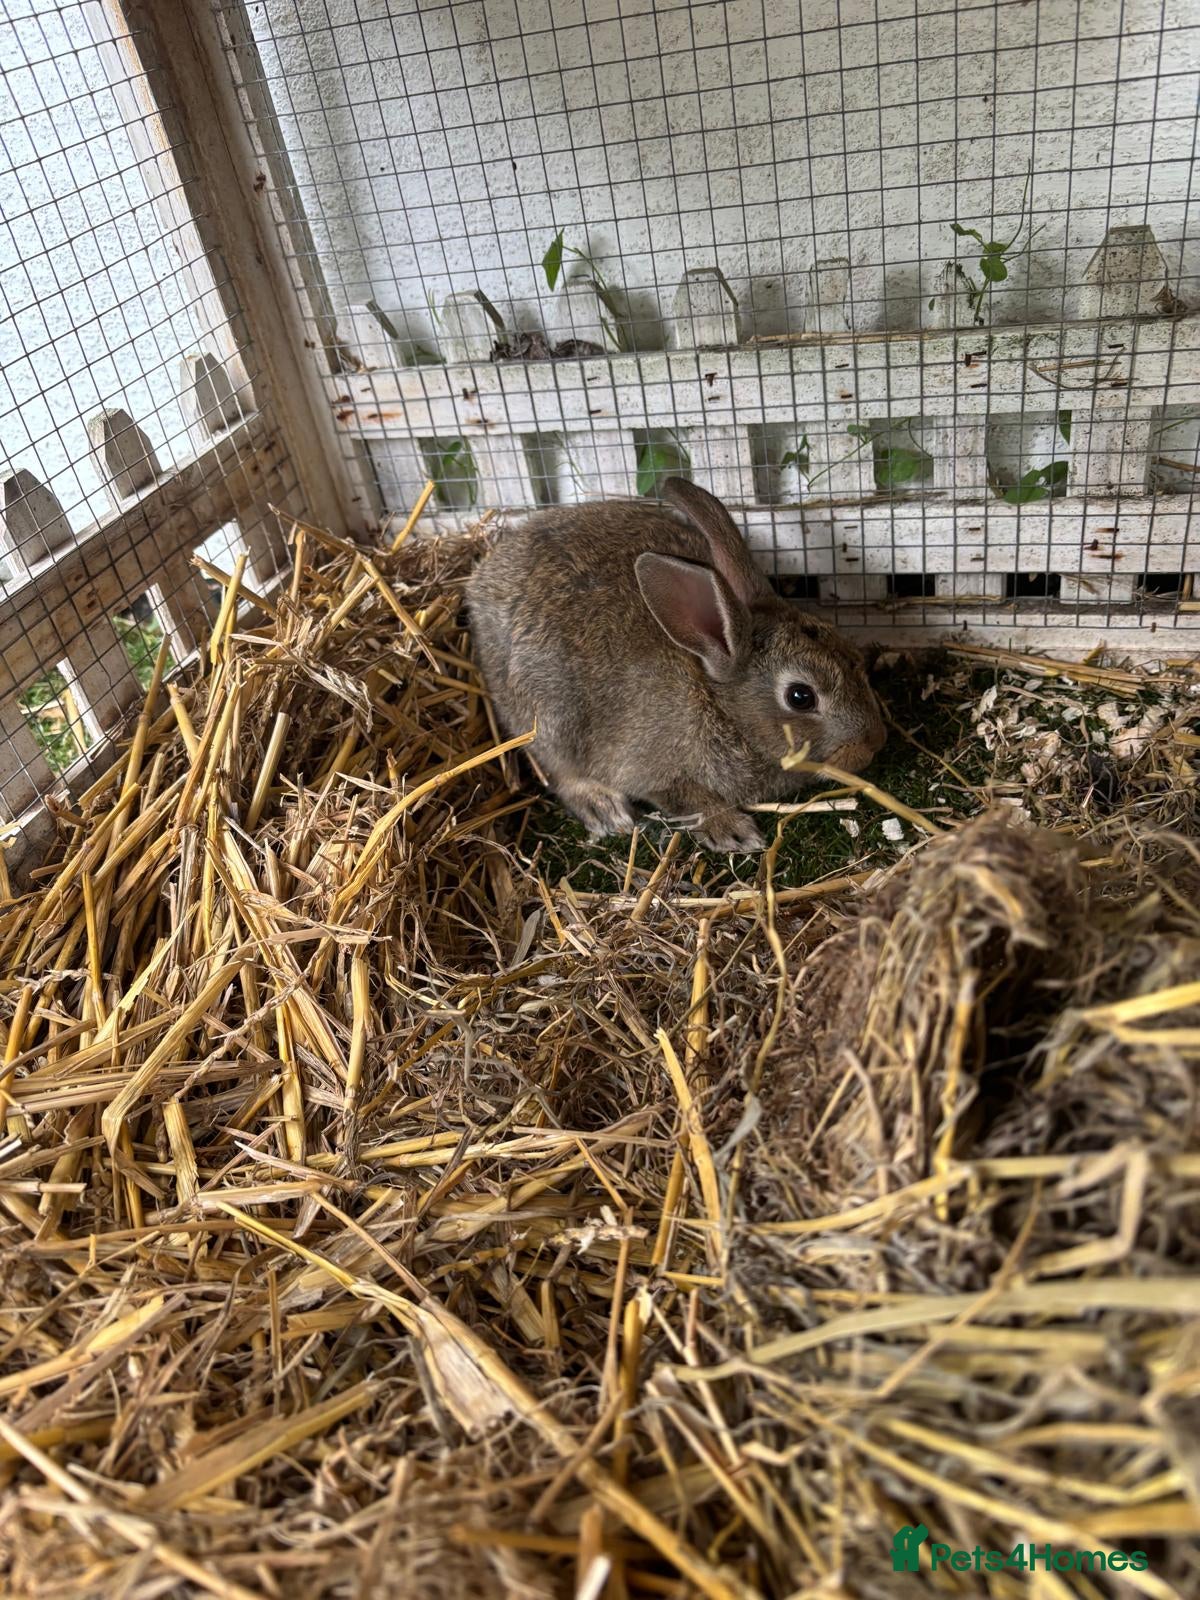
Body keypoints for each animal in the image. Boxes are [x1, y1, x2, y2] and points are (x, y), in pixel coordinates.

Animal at [466, 477, 886, 852]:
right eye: (801, 697)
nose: (872, 746)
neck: (719, 704)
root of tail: (479, 589)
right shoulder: (649, 768)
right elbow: (683, 798)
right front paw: (730, 830)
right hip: (548, 717)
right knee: (556, 769)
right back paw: (603, 807)